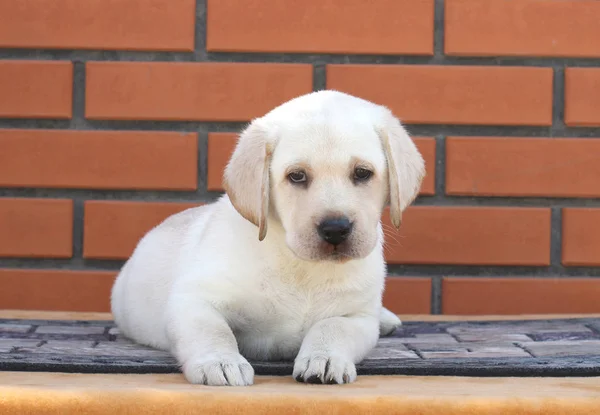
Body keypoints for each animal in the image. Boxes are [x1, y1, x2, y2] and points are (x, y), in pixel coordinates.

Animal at [110, 90, 424, 386]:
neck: (301, 268)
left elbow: (332, 328)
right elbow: (213, 331)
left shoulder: (357, 317)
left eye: (362, 173)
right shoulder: (194, 300)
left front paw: (324, 359)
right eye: (296, 176)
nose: (335, 229)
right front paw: (220, 362)